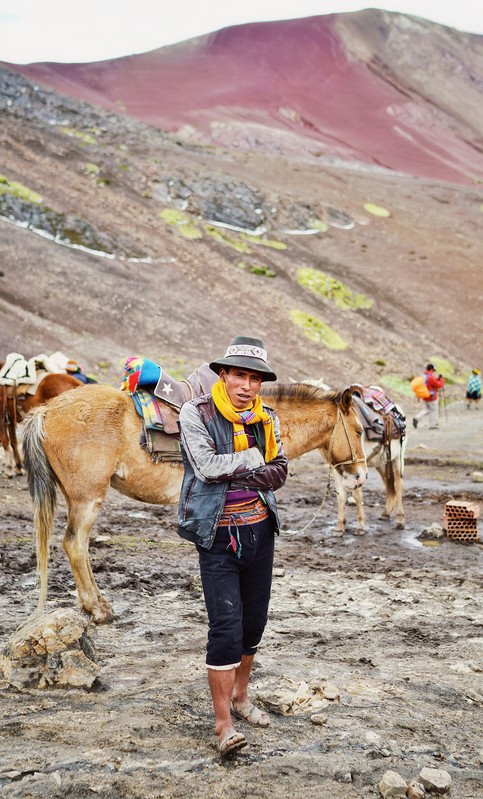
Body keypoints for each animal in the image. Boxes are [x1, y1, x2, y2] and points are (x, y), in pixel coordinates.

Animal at [22, 382, 366, 624]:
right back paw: (97, 609)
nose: (360, 476)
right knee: (74, 544)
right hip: (87, 498)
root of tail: (46, 410)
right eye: (360, 430)